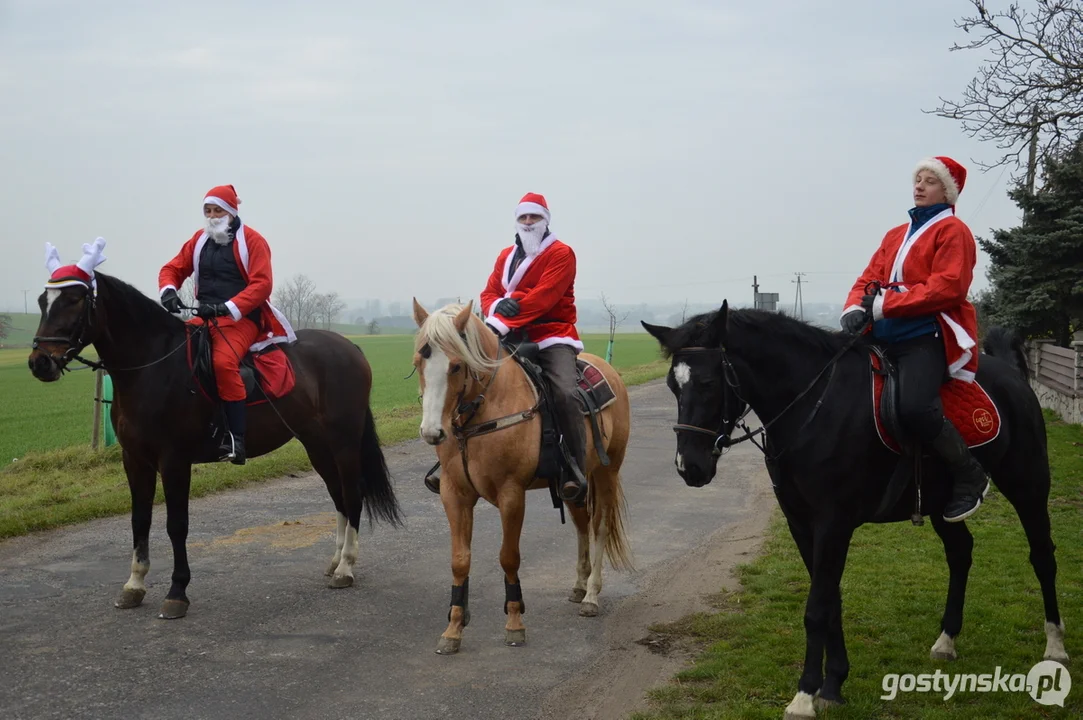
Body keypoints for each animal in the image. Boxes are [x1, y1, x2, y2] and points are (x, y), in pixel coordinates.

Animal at [29, 269, 402, 619]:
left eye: (74, 300)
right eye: (42, 301)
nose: (39, 362)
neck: (153, 367)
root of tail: (350, 348)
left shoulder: (174, 461)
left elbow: (176, 525)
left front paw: (177, 592)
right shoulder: (134, 460)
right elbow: (139, 521)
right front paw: (134, 585)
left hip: (343, 442)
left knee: (352, 496)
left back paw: (346, 567)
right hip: (317, 445)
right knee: (338, 497)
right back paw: (336, 561)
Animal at [411, 300, 632, 653]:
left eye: (456, 366)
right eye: (419, 361)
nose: (433, 432)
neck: (486, 411)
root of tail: (609, 371)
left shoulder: (511, 494)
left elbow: (509, 557)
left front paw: (514, 623)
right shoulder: (454, 494)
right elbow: (460, 560)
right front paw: (454, 628)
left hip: (606, 473)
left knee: (598, 527)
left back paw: (592, 595)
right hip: (573, 485)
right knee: (582, 524)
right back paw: (579, 585)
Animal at [641, 305, 1065, 718]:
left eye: (709, 383)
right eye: (673, 386)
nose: (689, 467)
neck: (814, 405)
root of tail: (1011, 375)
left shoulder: (833, 523)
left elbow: (816, 607)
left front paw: (804, 696)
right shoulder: (800, 523)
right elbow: (830, 600)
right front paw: (832, 684)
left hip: (1028, 486)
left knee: (1042, 556)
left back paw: (1055, 647)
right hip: (942, 504)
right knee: (960, 553)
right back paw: (946, 640)